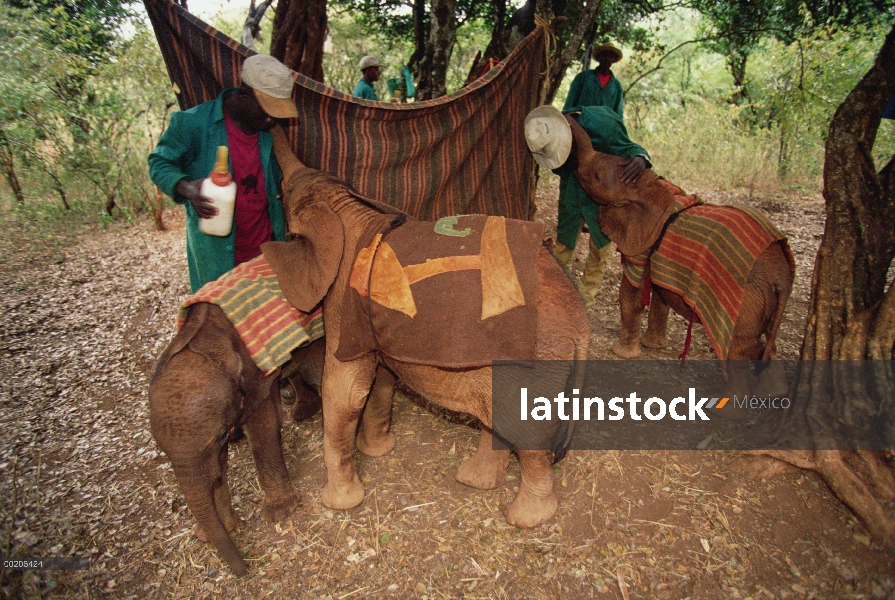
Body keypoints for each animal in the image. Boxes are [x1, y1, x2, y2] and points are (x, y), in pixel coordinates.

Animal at [149, 302, 324, 576]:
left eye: (221, 435)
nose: (245, 570)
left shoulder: (257, 374)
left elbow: (263, 428)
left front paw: (280, 513)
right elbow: (218, 463)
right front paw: (214, 531)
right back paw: (303, 413)